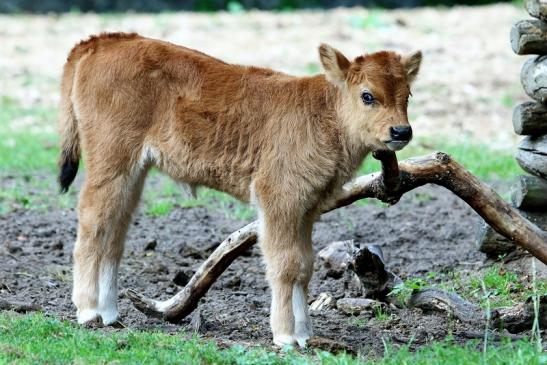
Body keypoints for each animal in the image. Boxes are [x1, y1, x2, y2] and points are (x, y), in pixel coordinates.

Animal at [57, 32, 422, 346]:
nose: (401, 131)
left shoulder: (306, 209)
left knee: (113, 234)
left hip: (132, 174)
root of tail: (103, 41)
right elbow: (285, 264)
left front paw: (304, 333)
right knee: (92, 224)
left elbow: (304, 266)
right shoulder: (278, 199)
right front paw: (285, 336)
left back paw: (110, 313)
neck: (324, 113)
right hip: (110, 163)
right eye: (367, 95)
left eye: (407, 95)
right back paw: (88, 312)